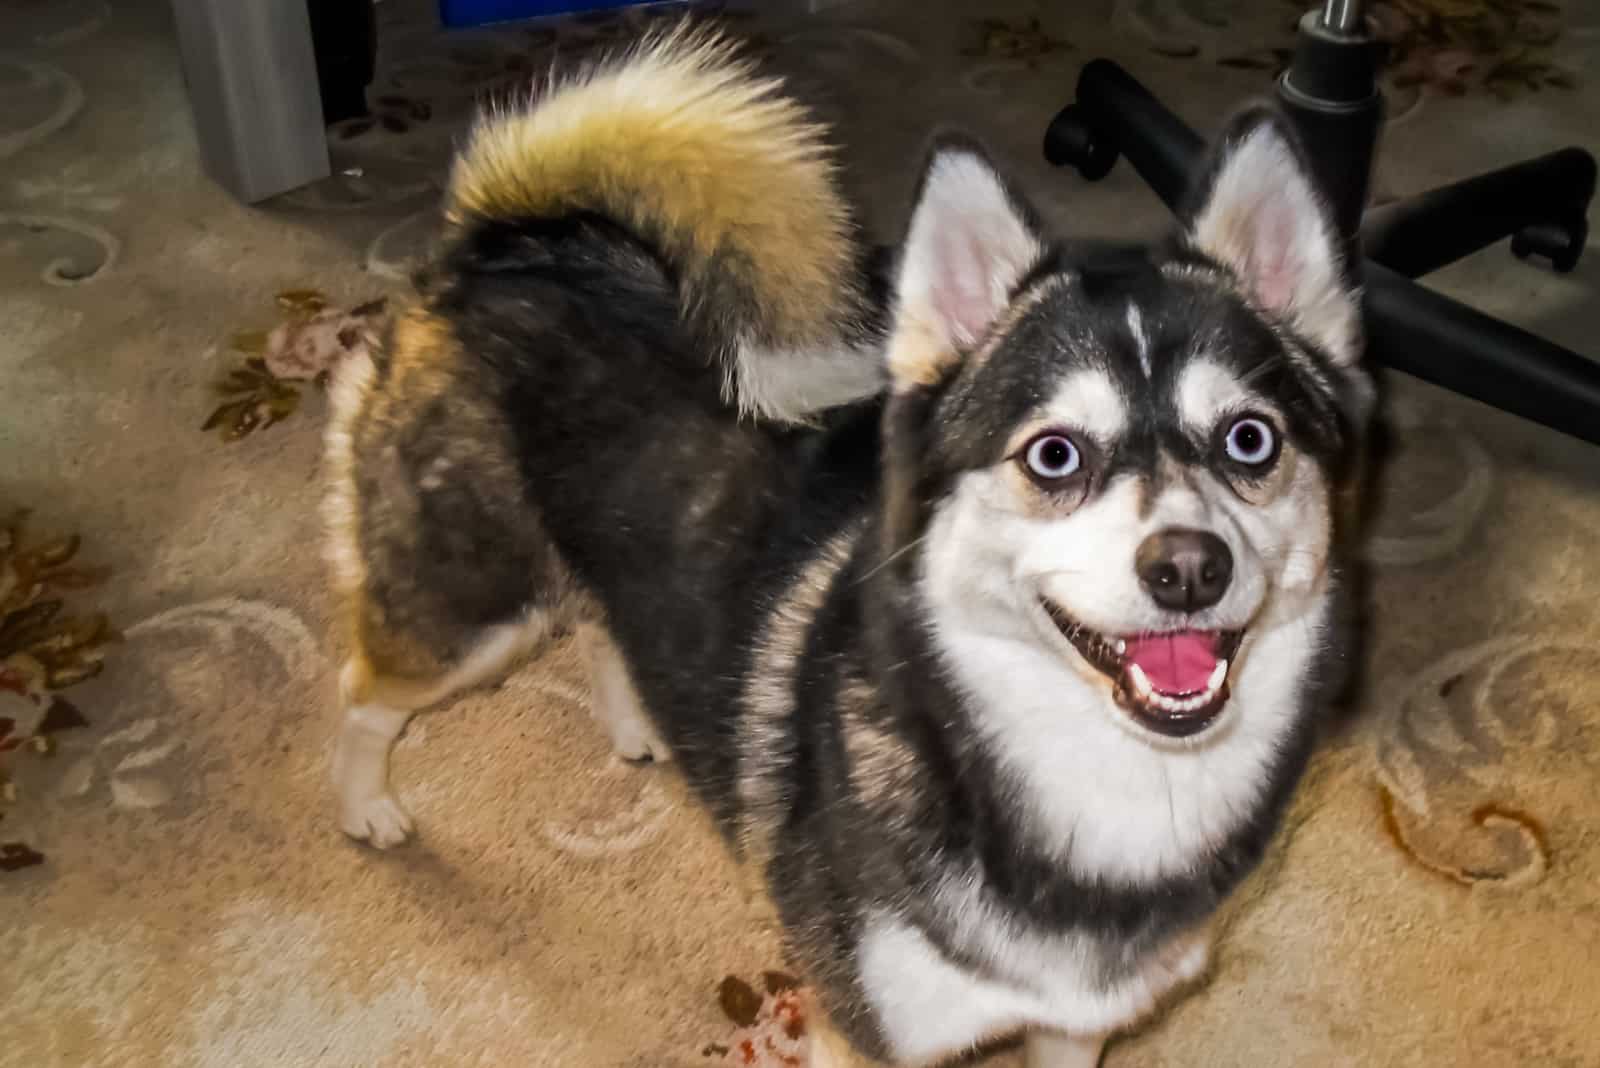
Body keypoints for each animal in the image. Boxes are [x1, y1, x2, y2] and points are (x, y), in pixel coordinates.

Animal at [321, 24, 1376, 1068]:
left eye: (1250, 439)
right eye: (1054, 453)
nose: (1190, 568)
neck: (1104, 785)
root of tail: (502, 247)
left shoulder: (1074, 1029)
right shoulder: (857, 1027)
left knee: (599, 620)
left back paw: (638, 726)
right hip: (470, 615)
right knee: (364, 690)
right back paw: (365, 807)